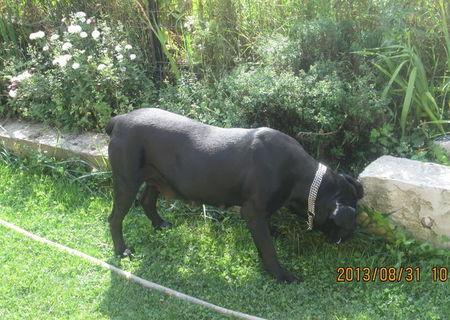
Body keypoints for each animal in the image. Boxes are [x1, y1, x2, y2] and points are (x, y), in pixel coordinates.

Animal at [105, 108, 362, 282]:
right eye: (349, 222)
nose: (352, 235)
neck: (302, 178)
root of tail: (119, 119)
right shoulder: (253, 212)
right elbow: (268, 249)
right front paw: (281, 274)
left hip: (156, 177)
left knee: (147, 201)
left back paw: (160, 224)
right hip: (126, 180)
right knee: (115, 218)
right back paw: (122, 250)